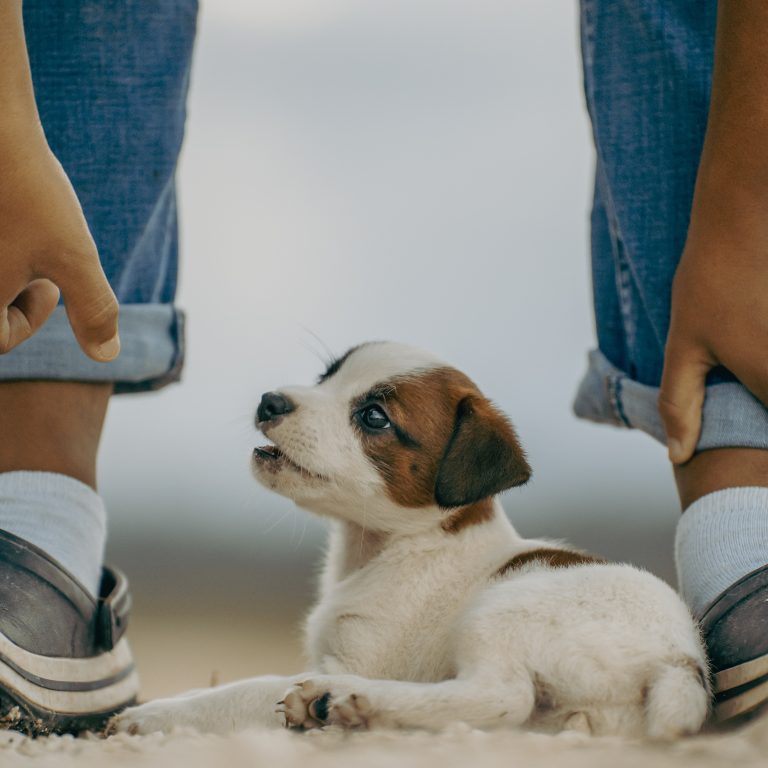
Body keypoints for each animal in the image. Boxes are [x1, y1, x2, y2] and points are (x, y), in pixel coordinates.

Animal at [111, 342, 712, 736]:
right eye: (327, 376)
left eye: (375, 417)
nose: (270, 400)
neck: (393, 548)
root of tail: (682, 662)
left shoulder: (354, 660)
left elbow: (244, 689)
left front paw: (157, 714)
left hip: (503, 609)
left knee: (501, 699)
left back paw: (345, 704)